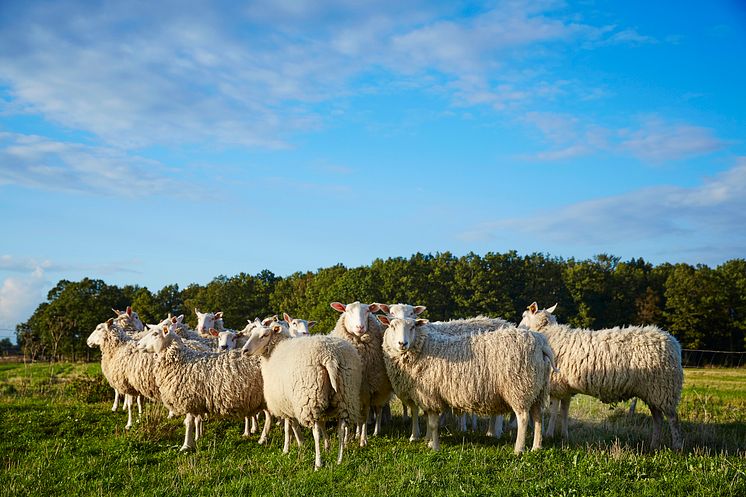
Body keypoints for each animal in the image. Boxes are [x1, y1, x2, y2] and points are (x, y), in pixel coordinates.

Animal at [140, 324, 268, 452]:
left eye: (155, 334)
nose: (139, 344)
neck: (181, 361)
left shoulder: (189, 399)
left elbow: (189, 422)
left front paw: (186, 445)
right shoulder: (196, 401)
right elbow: (196, 420)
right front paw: (196, 439)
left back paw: (263, 438)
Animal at [243, 320, 362, 466]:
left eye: (264, 335)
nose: (244, 350)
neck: (273, 352)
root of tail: (329, 356)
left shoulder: (285, 405)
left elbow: (289, 427)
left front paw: (287, 449)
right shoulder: (297, 403)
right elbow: (319, 424)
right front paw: (325, 446)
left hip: (309, 398)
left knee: (316, 431)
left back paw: (318, 463)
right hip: (345, 394)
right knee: (341, 426)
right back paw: (339, 460)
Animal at [328, 300, 392, 448]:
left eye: (367, 311)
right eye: (347, 311)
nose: (360, 327)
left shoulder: (368, 389)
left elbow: (365, 415)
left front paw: (363, 440)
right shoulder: (347, 391)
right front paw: (346, 440)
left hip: (380, 391)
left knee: (377, 410)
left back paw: (375, 431)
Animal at [378, 316, 552, 452]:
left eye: (413, 326)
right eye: (392, 326)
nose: (402, 343)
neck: (424, 348)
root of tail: (541, 344)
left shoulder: (431, 395)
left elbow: (433, 423)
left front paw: (434, 447)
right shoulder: (425, 395)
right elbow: (427, 419)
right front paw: (428, 441)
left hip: (519, 388)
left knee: (523, 417)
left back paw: (518, 449)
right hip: (537, 389)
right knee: (538, 416)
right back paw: (536, 447)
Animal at [516, 300, 684, 448]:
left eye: (524, 315)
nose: (518, 326)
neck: (548, 333)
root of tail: (673, 343)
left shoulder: (556, 384)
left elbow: (554, 411)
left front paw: (550, 434)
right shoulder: (565, 387)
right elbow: (564, 411)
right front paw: (564, 435)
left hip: (664, 388)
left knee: (673, 419)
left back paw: (677, 447)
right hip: (654, 391)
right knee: (658, 418)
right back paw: (654, 445)